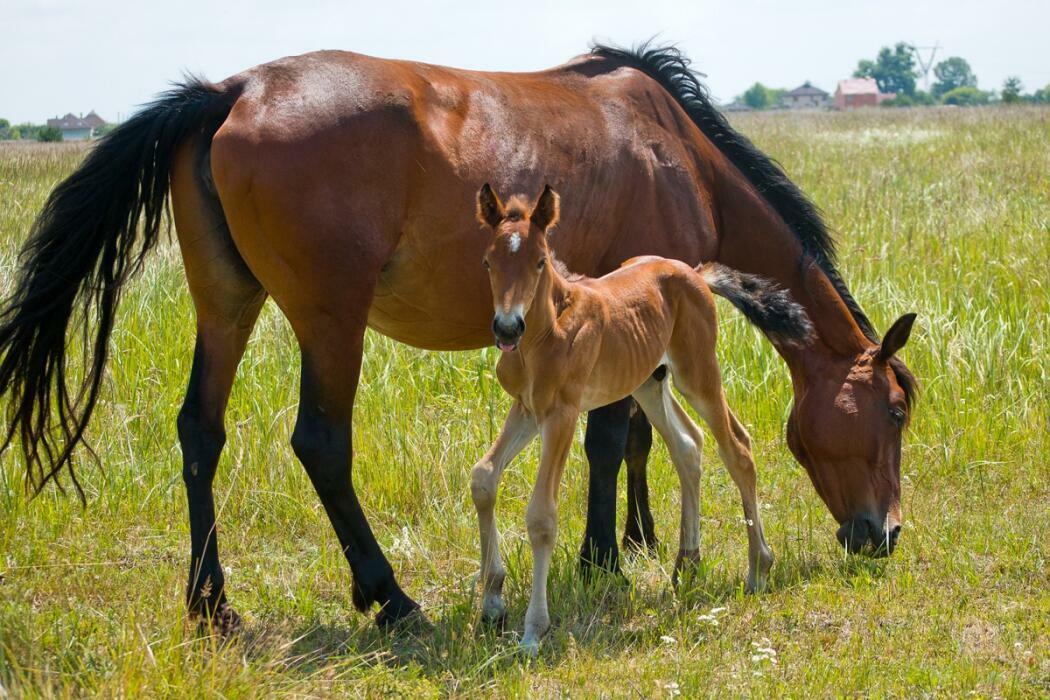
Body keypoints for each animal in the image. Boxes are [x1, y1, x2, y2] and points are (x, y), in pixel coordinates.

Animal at [472, 184, 814, 650]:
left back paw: (758, 569)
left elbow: (541, 515)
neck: (549, 329)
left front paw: (532, 631)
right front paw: (492, 602)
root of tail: (694, 272)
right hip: (649, 382)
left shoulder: (561, 413)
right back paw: (686, 566)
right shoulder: (526, 409)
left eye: (539, 261)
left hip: (697, 373)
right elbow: (483, 477)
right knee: (688, 444)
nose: (507, 328)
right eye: (489, 262)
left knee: (737, 447)